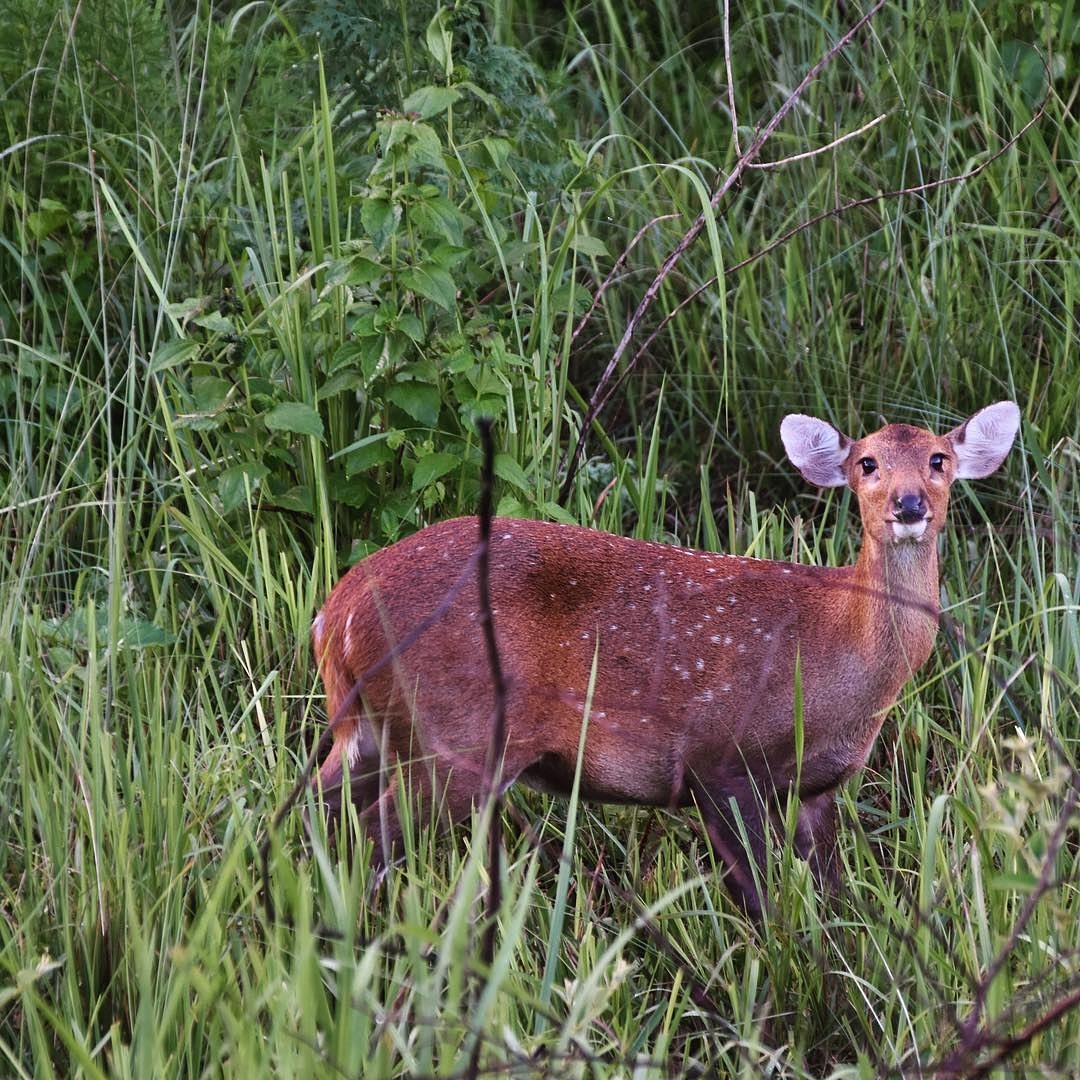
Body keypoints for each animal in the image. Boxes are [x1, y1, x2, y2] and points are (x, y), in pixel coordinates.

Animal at [309, 402, 1020, 917]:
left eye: (938, 458)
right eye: (867, 462)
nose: (909, 504)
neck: (841, 657)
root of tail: (336, 614)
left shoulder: (817, 787)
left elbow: (832, 896)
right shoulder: (721, 758)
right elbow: (761, 901)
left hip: (370, 733)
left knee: (315, 813)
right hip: (455, 734)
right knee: (368, 833)